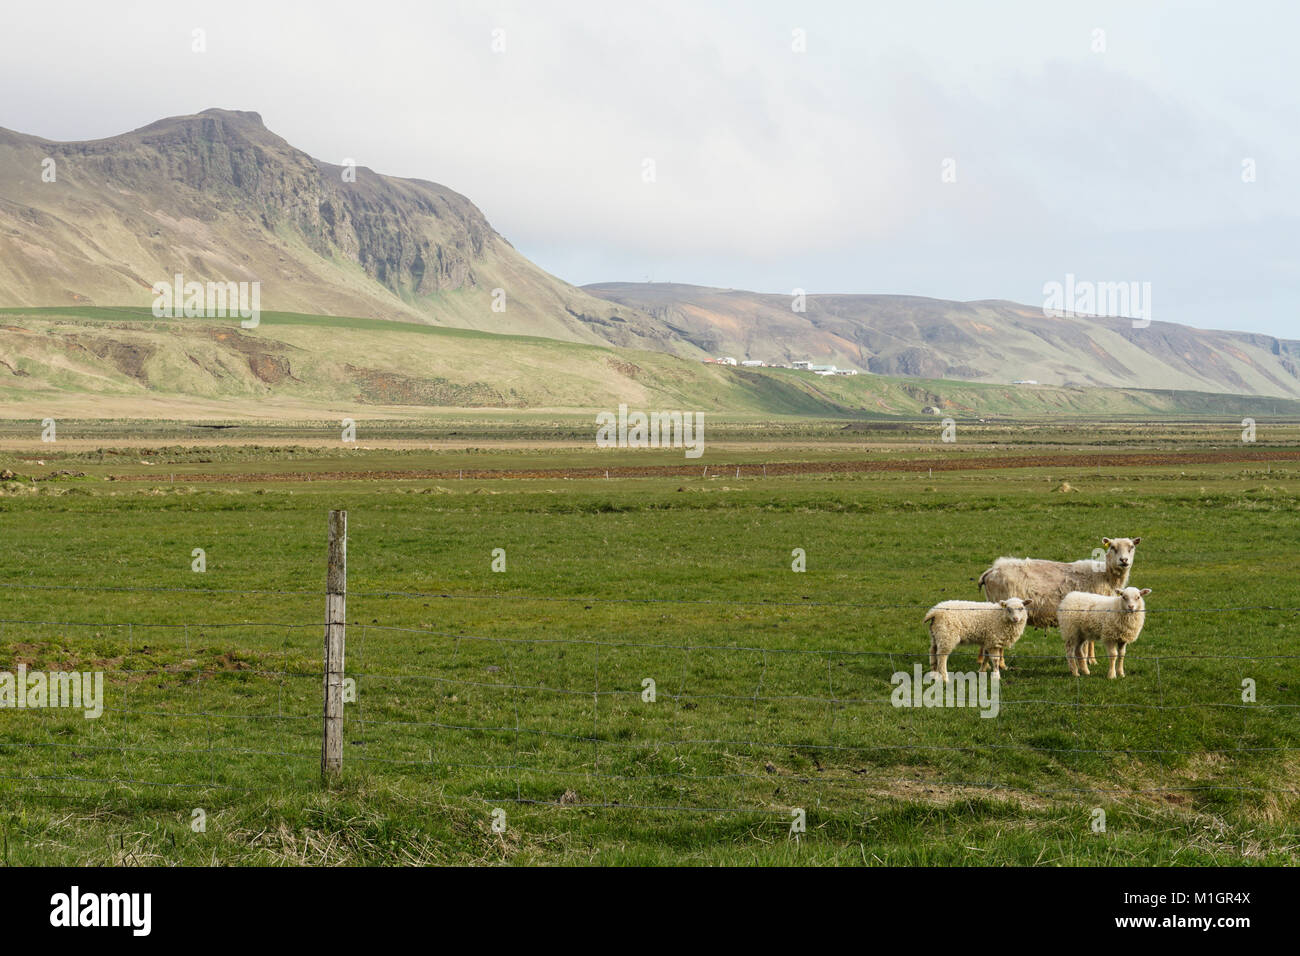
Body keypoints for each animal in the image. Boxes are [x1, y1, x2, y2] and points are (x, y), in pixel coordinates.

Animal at [977, 538, 1144, 671]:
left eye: (1131, 547)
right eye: (1113, 547)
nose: (1124, 560)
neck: (1105, 576)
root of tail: (992, 570)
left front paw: (1090, 660)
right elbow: (1089, 642)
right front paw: (1090, 661)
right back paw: (1001, 664)